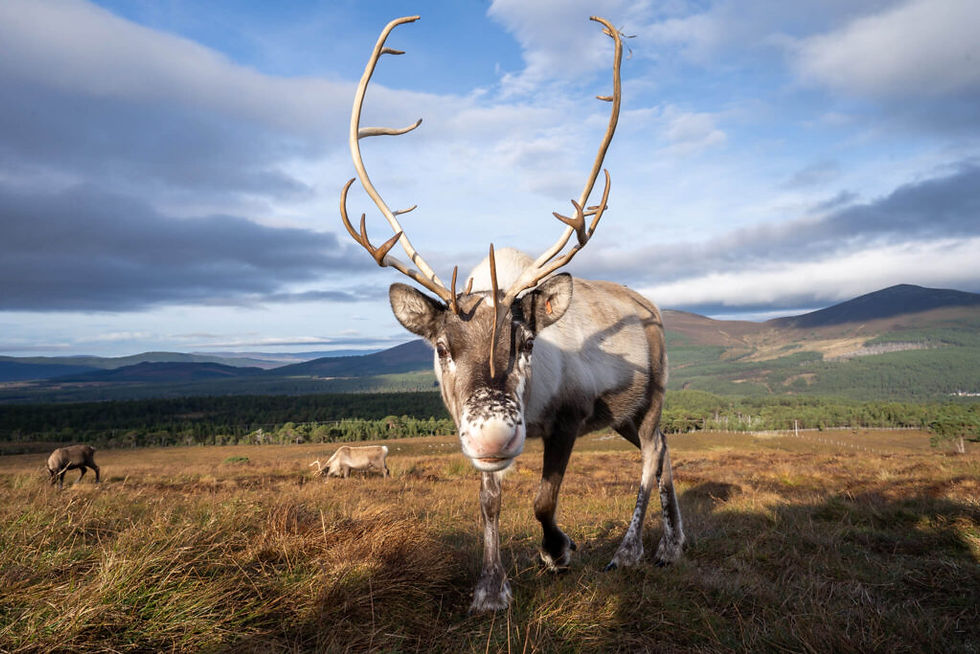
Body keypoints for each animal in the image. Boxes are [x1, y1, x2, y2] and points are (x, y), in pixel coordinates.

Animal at [339, 15, 684, 613]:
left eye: (526, 343)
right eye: (441, 347)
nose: (494, 438)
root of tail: (650, 308)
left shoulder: (568, 418)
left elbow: (544, 501)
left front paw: (559, 552)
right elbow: (489, 503)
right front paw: (490, 589)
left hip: (650, 400)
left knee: (650, 456)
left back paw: (632, 551)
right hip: (623, 416)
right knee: (664, 451)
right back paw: (673, 544)